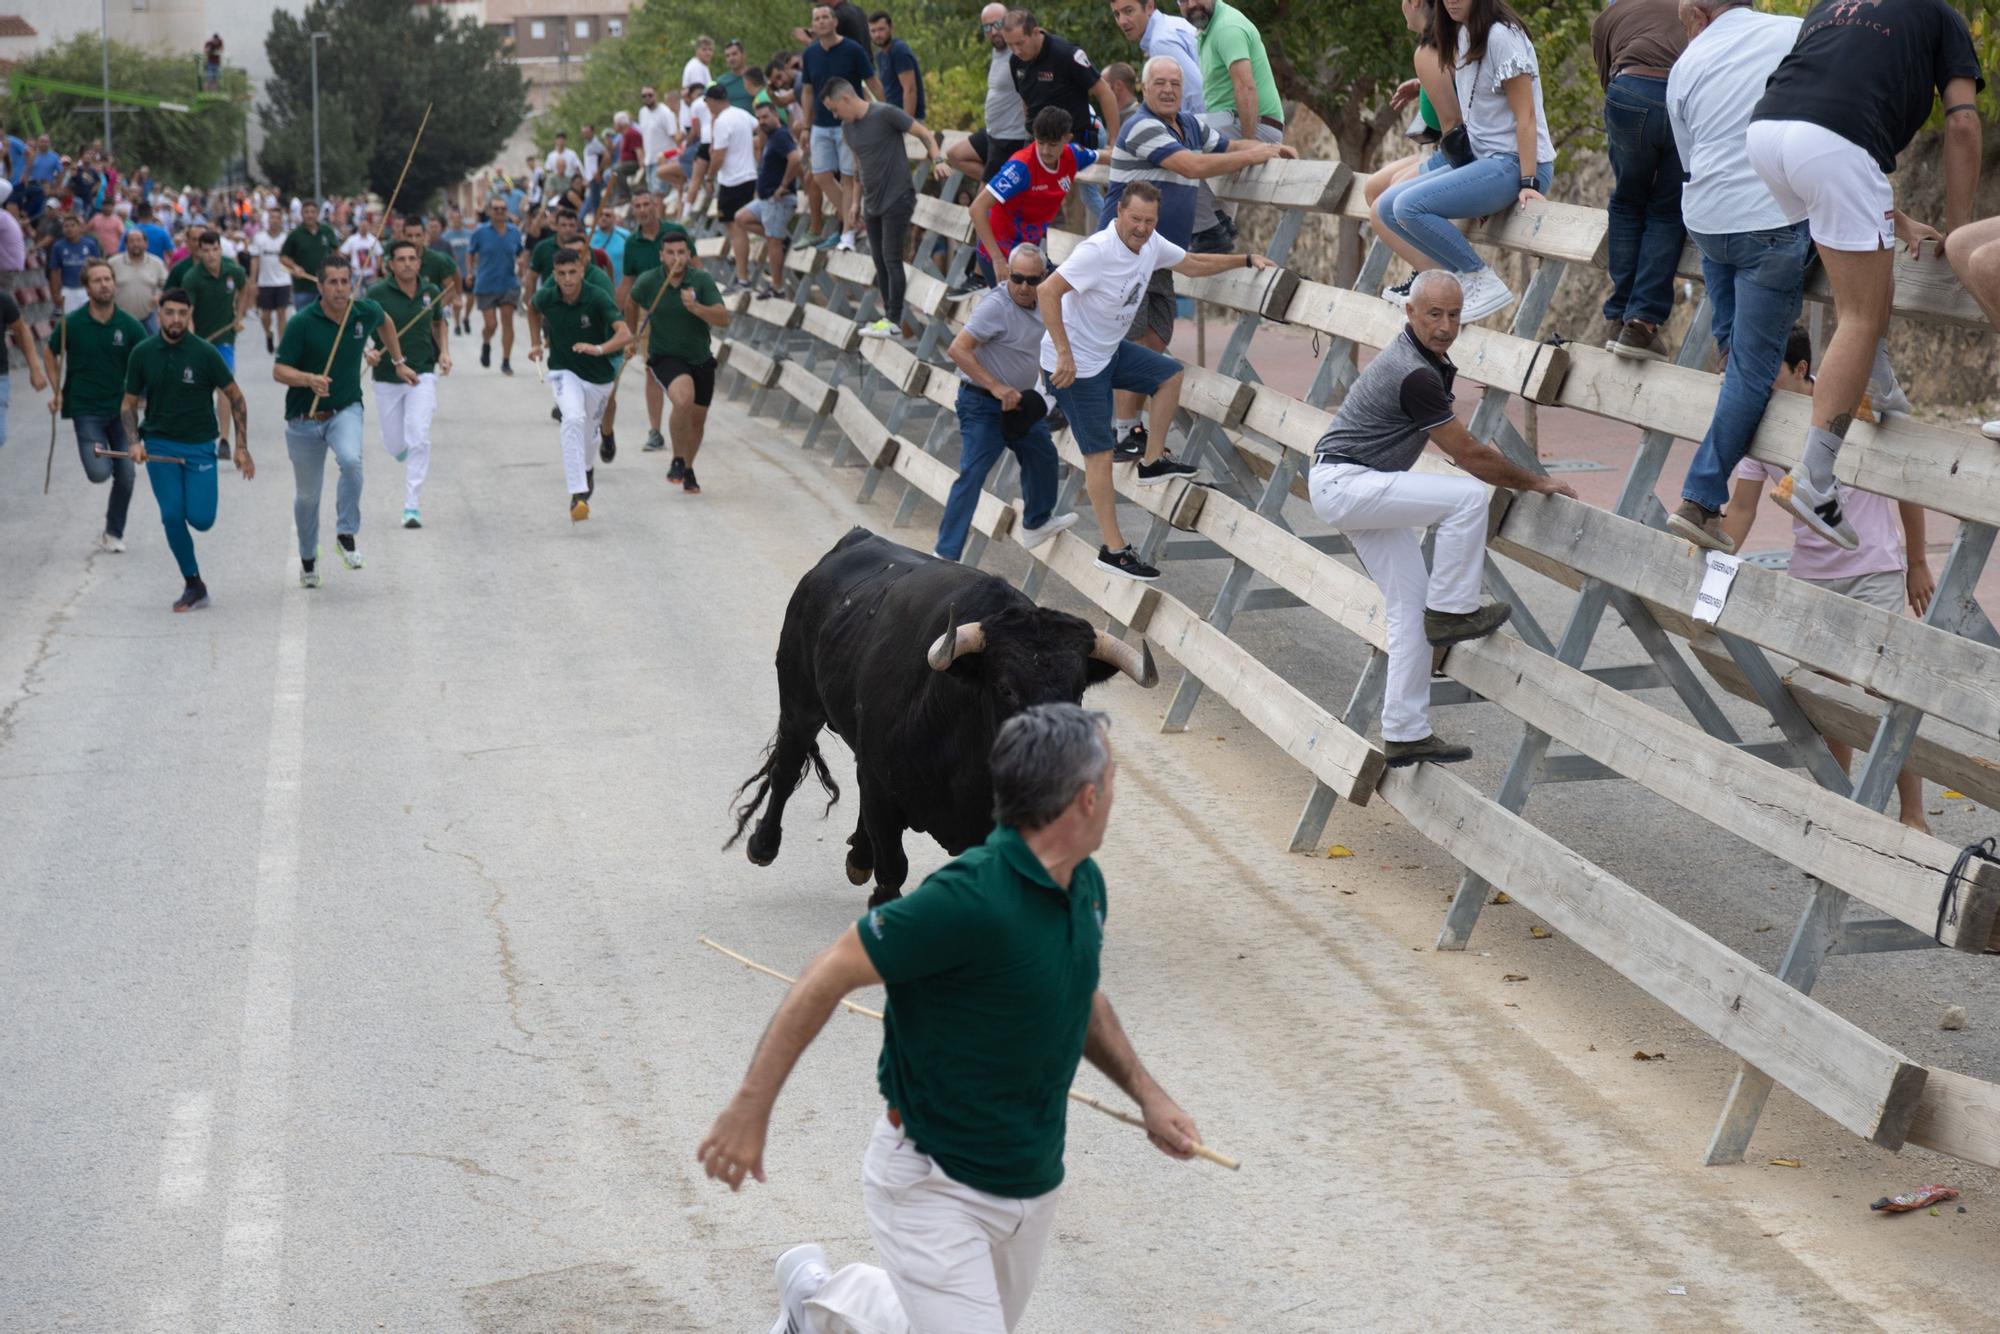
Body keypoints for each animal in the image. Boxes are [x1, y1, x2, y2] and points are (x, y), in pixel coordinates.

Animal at [728, 532, 1160, 908]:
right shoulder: (882, 787)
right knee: (787, 768)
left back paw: (858, 855)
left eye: (1077, 690)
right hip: (799, 700)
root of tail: (858, 539)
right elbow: (893, 868)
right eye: (1005, 688)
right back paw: (763, 845)